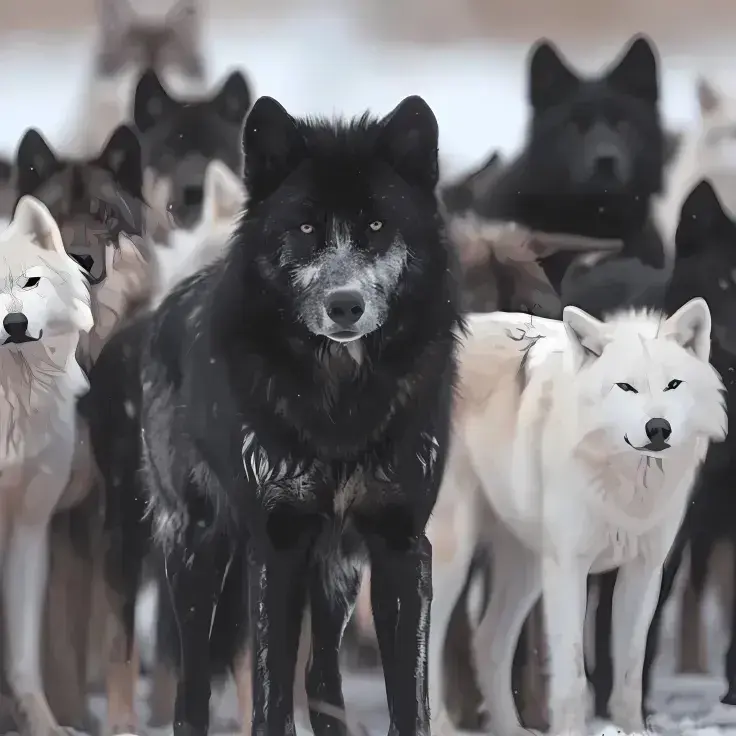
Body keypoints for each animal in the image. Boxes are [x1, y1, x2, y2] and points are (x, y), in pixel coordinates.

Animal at [85, 93, 461, 736]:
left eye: (377, 225)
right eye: (306, 227)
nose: (344, 305)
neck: (340, 404)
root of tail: (161, 307)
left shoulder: (400, 546)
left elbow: (408, 701)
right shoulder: (276, 546)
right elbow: (268, 693)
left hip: (336, 573)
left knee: (321, 677)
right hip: (196, 551)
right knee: (190, 683)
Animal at [428, 297, 727, 736]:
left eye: (673, 385)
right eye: (626, 387)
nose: (658, 428)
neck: (626, 484)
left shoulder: (644, 570)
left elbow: (629, 676)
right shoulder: (570, 568)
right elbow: (571, 677)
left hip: (528, 568)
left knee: (487, 641)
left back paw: (513, 729)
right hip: (454, 554)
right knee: (426, 640)